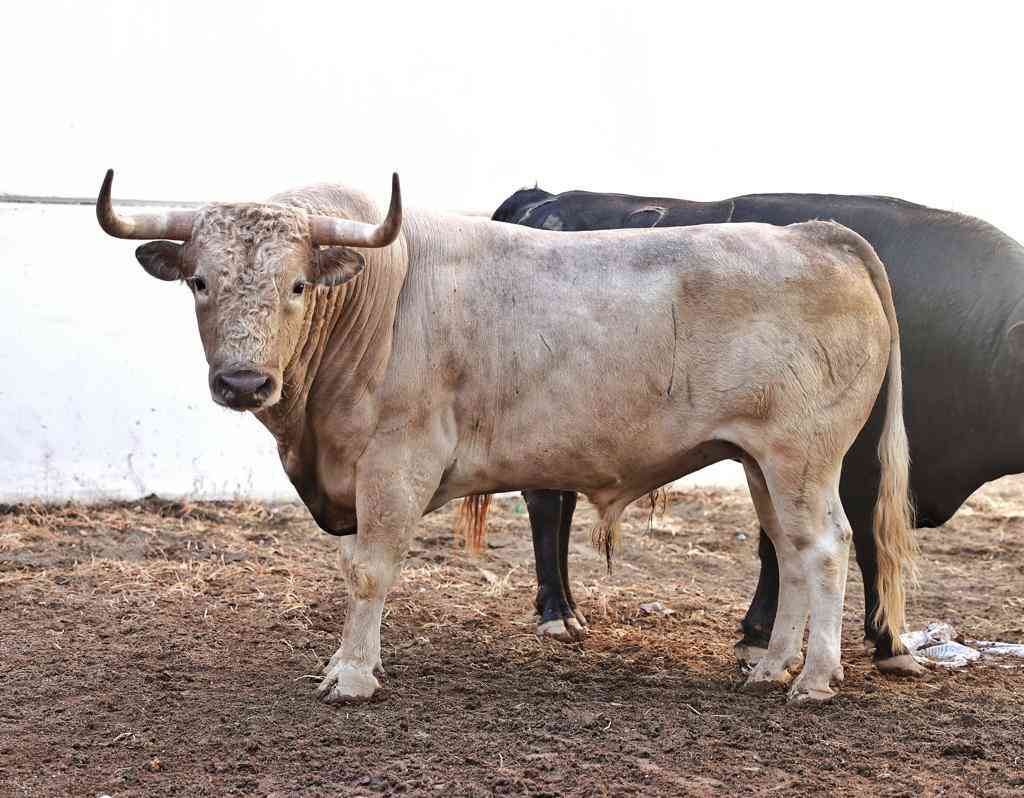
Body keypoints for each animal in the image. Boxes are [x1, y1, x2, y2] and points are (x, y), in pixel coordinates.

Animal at [96, 169, 913, 703]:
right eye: (201, 281)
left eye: (296, 285)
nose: (242, 382)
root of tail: (816, 236)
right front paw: (350, 663)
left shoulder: (396, 461)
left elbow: (370, 570)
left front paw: (352, 677)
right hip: (759, 462)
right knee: (790, 551)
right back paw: (771, 667)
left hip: (804, 457)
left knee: (824, 547)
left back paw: (814, 679)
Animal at [490, 185, 1024, 677]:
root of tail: (542, 199)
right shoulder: (841, 462)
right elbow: (846, 546)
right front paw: (869, 640)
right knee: (546, 508)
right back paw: (558, 613)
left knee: (559, 505)